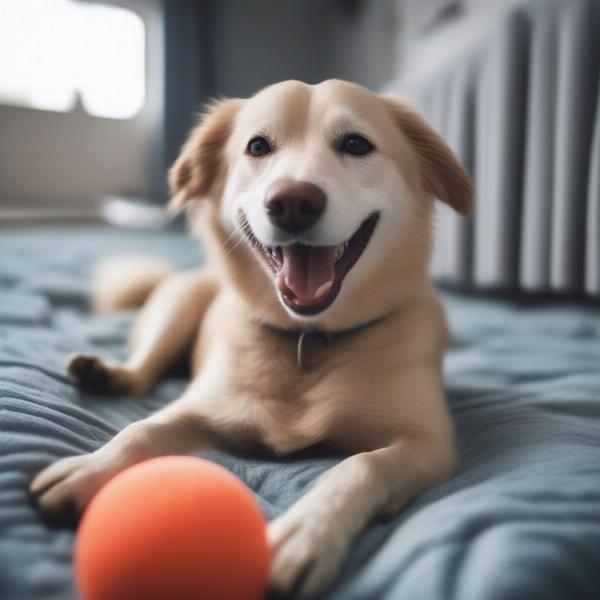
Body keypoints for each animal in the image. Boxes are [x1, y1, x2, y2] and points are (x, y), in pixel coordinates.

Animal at [30, 78, 474, 596]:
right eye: (258, 146)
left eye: (356, 144)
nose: (293, 202)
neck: (308, 341)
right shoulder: (201, 410)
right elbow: (142, 429)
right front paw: (89, 469)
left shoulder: (428, 445)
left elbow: (362, 464)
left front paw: (307, 532)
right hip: (179, 304)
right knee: (143, 371)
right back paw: (101, 372)